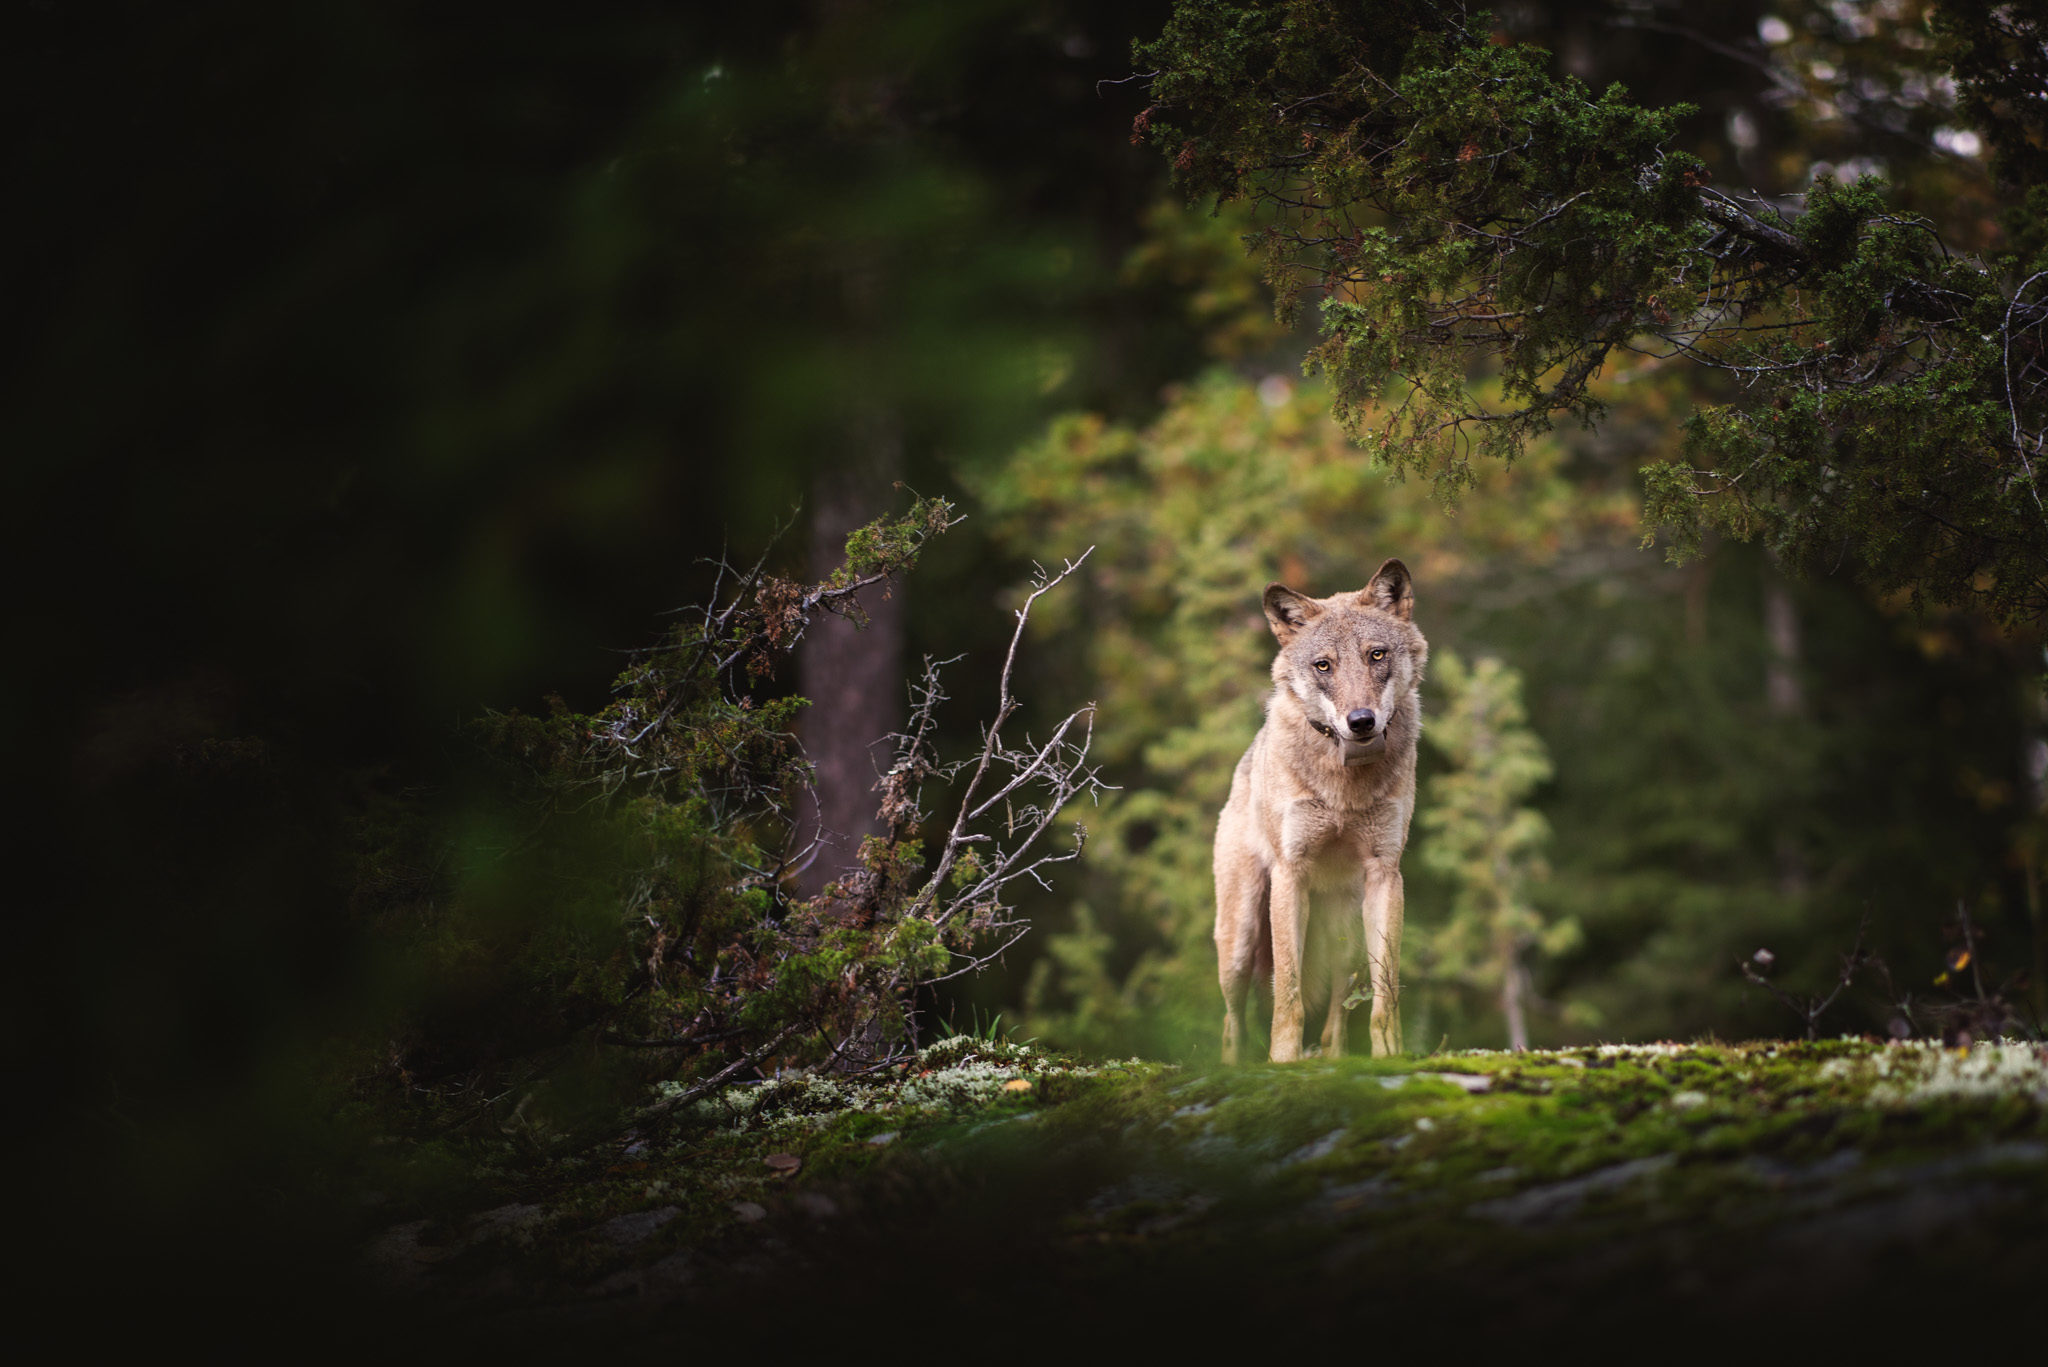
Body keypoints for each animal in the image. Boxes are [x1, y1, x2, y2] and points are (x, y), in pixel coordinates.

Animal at [1212, 561, 1425, 1065]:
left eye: (1376, 655)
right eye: (1323, 665)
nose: (1361, 721)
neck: (1343, 785)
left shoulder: (1385, 874)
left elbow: (1386, 992)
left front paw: (1390, 1055)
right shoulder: (1291, 873)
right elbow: (1287, 995)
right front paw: (1282, 1062)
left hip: (1345, 934)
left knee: (1333, 1023)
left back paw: (1334, 1061)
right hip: (1239, 941)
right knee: (1232, 1023)